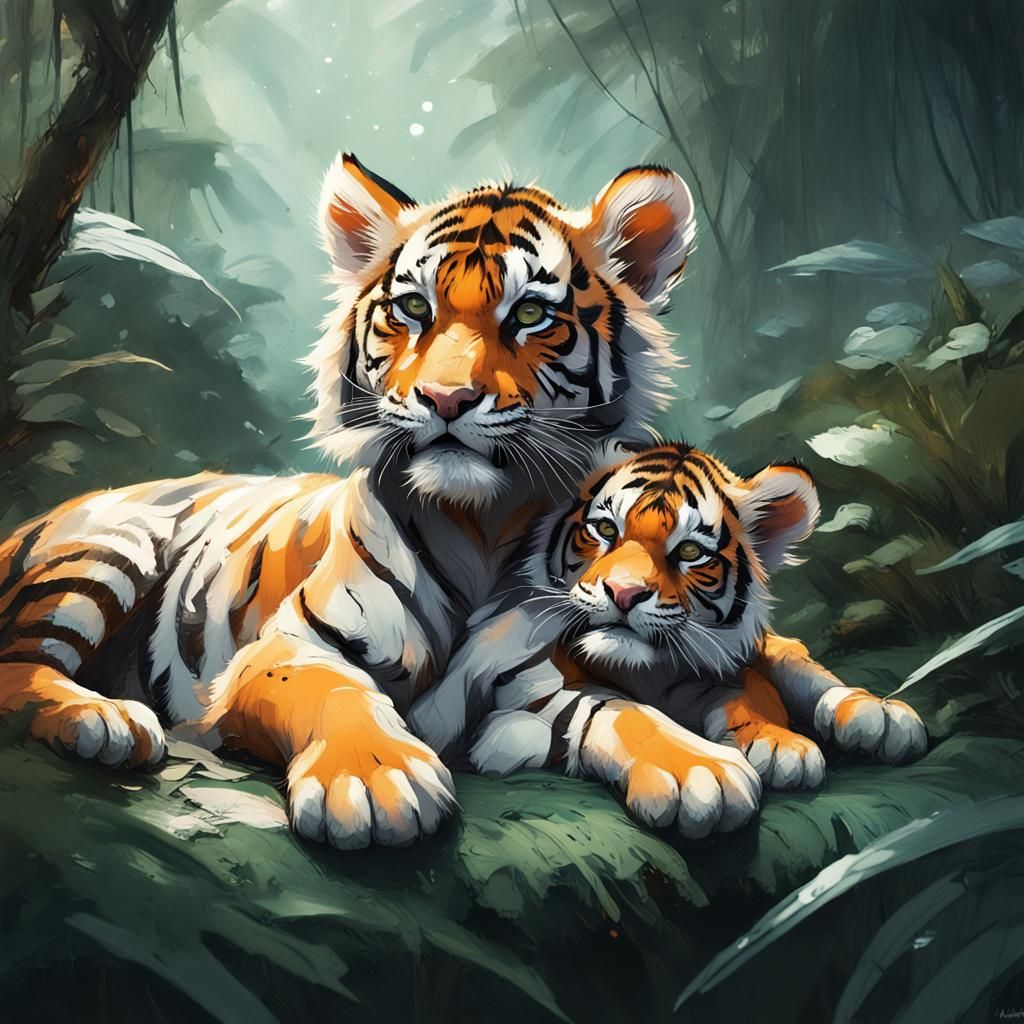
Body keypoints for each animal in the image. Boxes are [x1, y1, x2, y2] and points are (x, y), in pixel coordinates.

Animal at [409, 442, 928, 838]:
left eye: (691, 551)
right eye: (605, 529)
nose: (623, 592)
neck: (650, 670)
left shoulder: (717, 665)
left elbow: (753, 689)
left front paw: (781, 743)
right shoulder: (531, 675)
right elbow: (623, 712)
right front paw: (701, 772)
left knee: (791, 655)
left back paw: (875, 713)